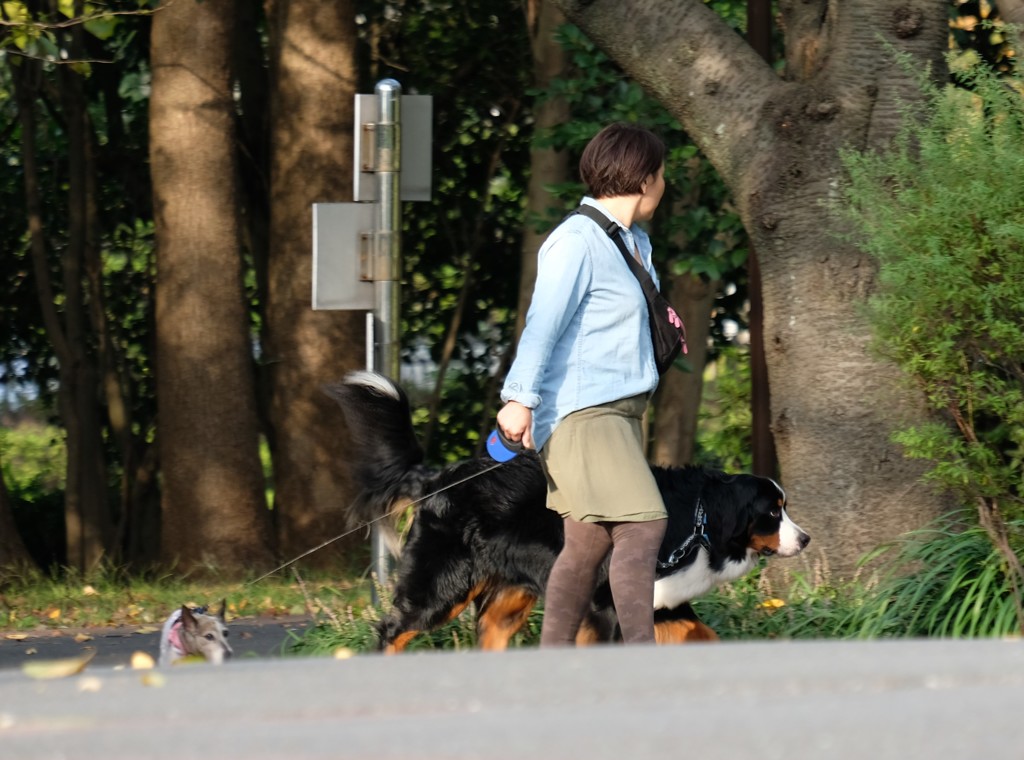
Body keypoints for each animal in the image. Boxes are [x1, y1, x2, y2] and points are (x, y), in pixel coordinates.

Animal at [327, 372, 806, 651]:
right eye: (772, 513)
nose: (805, 539)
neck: (700, 522)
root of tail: (438, 477)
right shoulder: (603, 600)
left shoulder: (659, 600)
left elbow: (704, 634)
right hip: (443, 586)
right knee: (393, 629)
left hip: (509, 594)